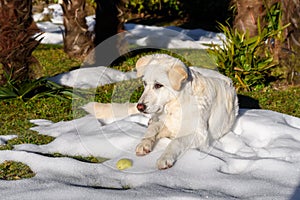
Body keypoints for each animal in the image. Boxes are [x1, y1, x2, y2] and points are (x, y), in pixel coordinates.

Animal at [83, 54, 238, 170]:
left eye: (158, 85)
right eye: (145, 83)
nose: (140, 107)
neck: (175, 106)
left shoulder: (199, 135)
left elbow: (176, 141)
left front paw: (165, 158)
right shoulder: (163, 122)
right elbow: (152, 129)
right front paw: (144, 144)